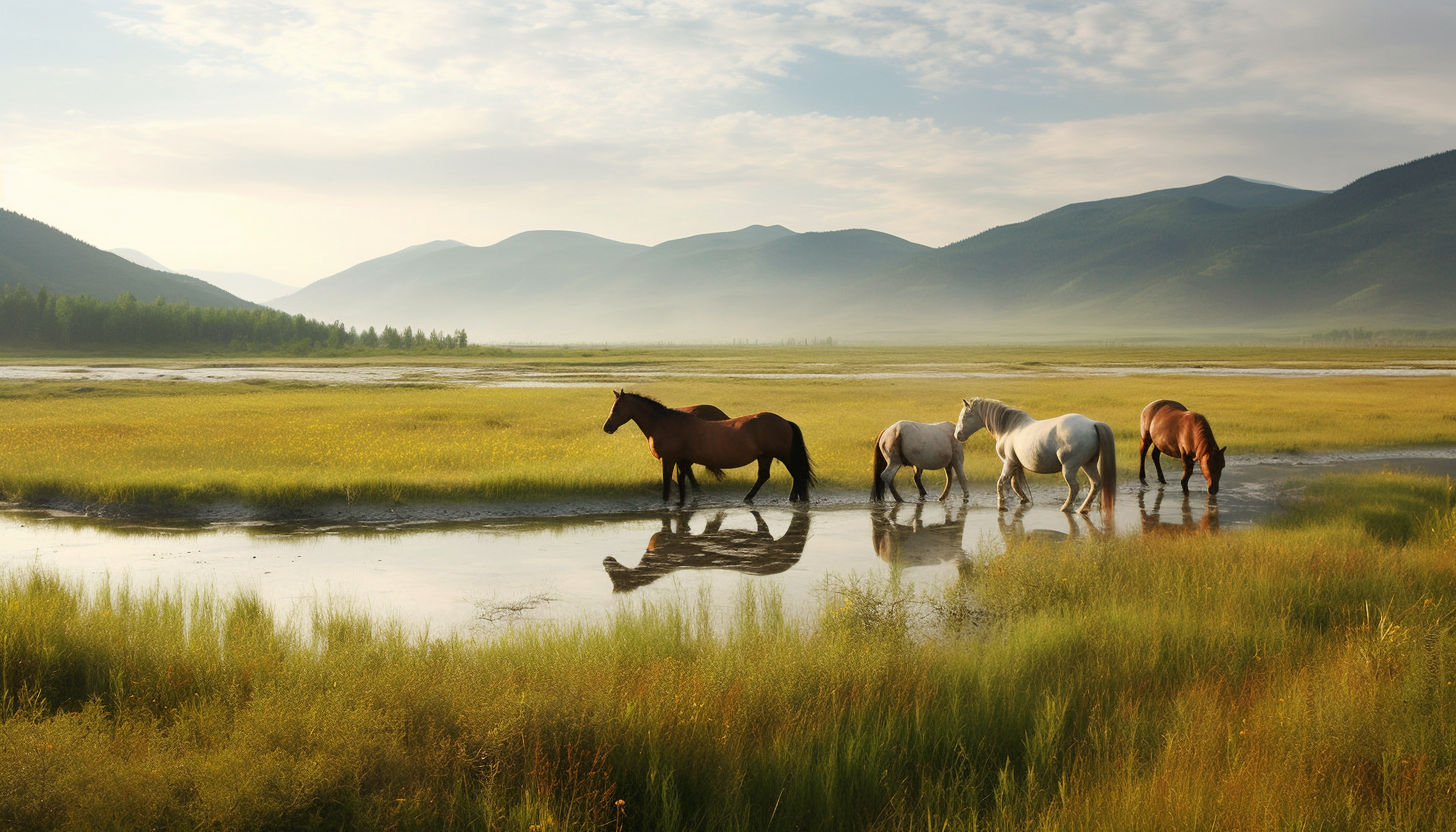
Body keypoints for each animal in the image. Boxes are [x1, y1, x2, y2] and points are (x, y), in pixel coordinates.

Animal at [596, 393, 815, 504]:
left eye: (617, 407)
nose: (607, 427)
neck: (664, 423)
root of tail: (784, 421)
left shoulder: (669, 459)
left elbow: (668, 481)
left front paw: (666, 502)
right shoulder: (681, 460)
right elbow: (682, 481)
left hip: (783, 455)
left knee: (796, 474)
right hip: (766, 456)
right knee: (766, 477)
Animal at [955, 396, 1112, 515]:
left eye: (965, 415)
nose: (957, 435)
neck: (1008, 429)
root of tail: (1093, 424)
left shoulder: (1009, 462)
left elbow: (1002, 482)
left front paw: (1002, 506)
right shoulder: (1015, 464)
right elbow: (1015, 483)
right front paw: (1024, 500)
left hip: (1070, 468)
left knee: (1074, 487)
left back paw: (1066, 508)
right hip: (1088, 464)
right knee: (1096, 484)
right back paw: (1083, 509)